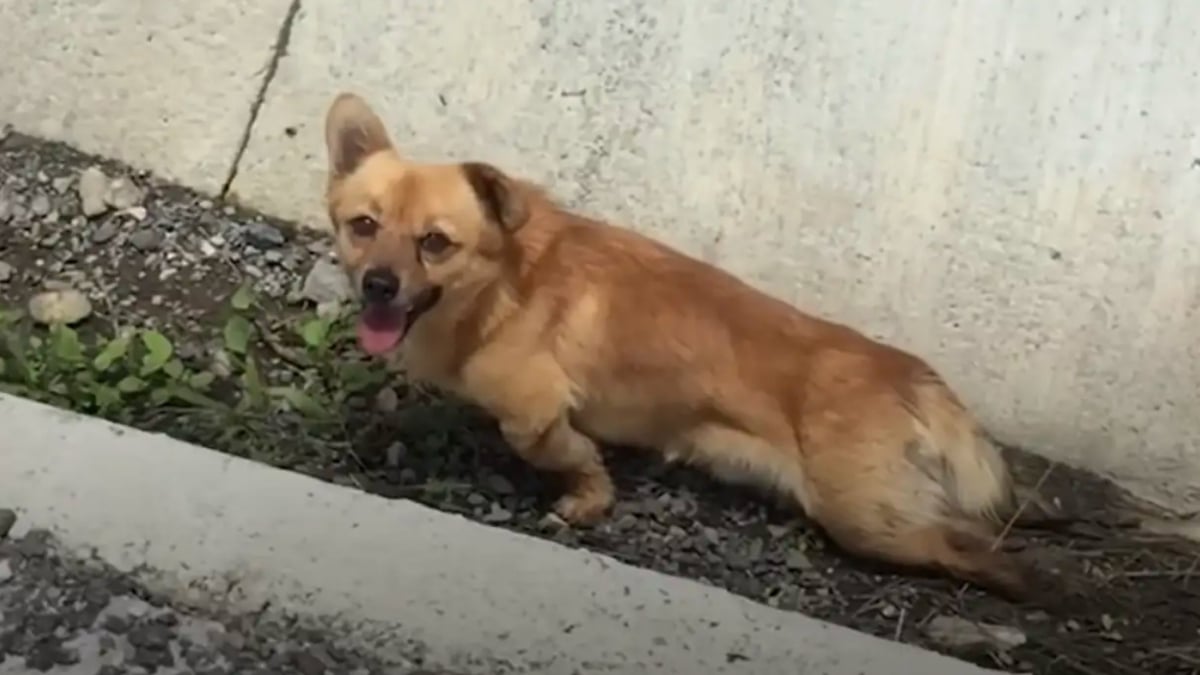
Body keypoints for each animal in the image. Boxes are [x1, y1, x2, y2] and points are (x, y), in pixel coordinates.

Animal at [324, 90, 1046, 598]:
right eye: (363, 226)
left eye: (435, 242)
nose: (379, 284)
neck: (502, 282)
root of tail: (908, 373)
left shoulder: (535, 411)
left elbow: (566, 453)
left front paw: (587, 499)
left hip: (867, 518)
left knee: (975, 549)